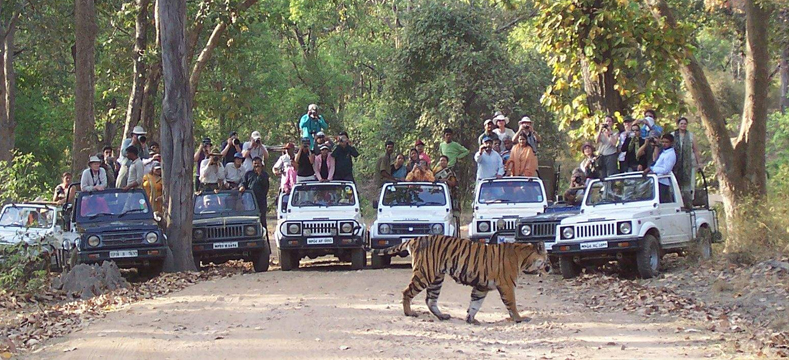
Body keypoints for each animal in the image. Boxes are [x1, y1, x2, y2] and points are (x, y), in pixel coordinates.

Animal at [372, 235, 544, 324]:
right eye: (546, 258)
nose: (548, 268)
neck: (523, 257)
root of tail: (415, 239)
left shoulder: (481, 287)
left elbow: (475, 303)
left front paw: (471, 319)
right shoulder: (507, 286)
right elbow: (512, 304)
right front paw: (519, 318)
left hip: (436, 279)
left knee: (430, 300)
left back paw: (442, 316)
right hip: (424, 274)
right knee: (407, 292)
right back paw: (409, 313)